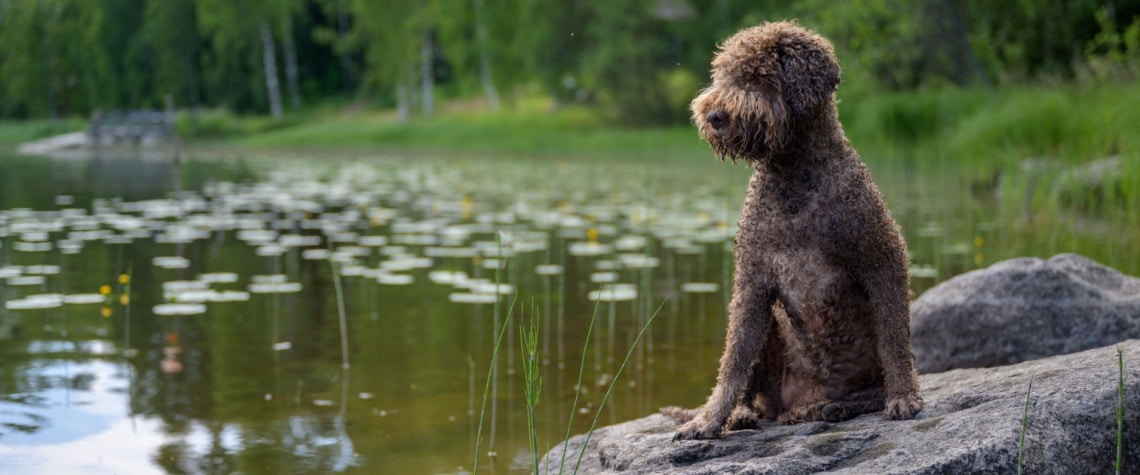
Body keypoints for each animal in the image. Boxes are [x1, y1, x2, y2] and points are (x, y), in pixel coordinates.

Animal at [665, 20, 921, 439]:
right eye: (722, 75)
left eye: (758, 76)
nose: (715, 115)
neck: (794, 182)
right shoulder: (752, 285)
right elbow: (732, 362)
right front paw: (708, 419)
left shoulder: (883, 257)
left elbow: (895, 339)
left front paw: (903, 397)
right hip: (770, 333)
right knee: (757, 395)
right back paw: (748, 414)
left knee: (861, 392)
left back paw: (830, 407)